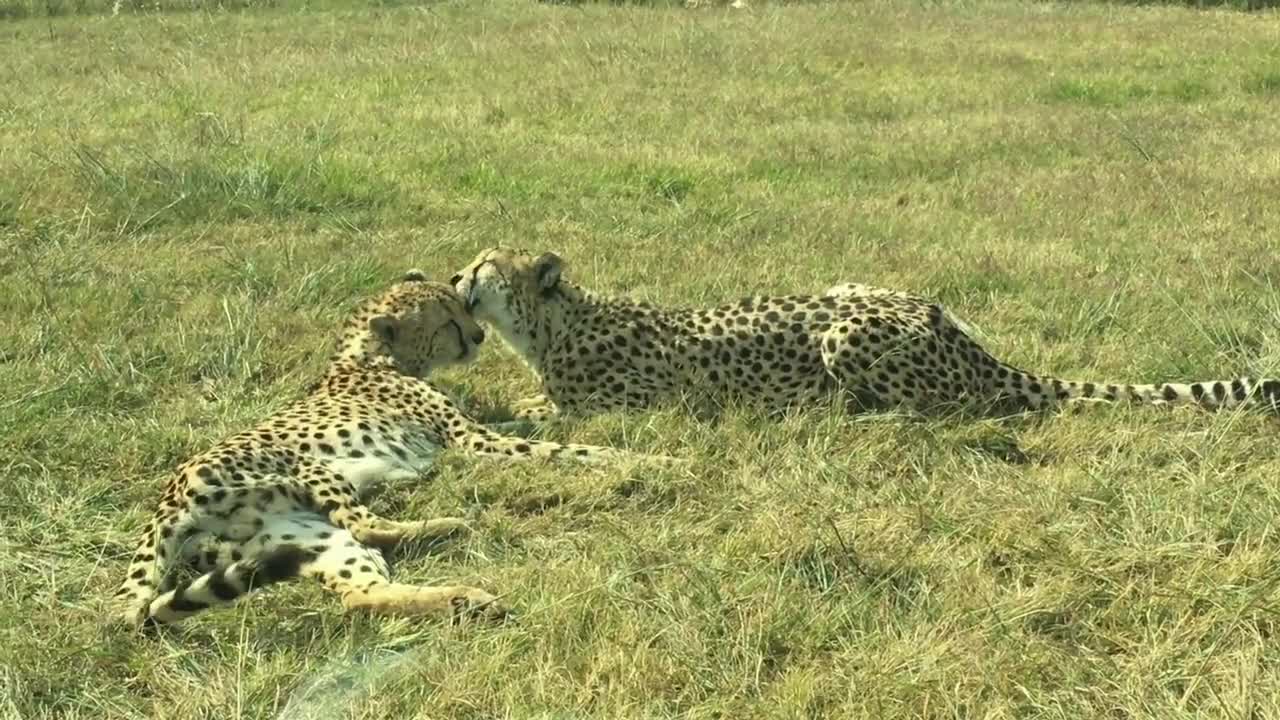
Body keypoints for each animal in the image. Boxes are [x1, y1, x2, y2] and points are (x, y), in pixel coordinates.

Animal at [115, 271, 645, 625]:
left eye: (461, 308)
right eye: (448, 322)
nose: (478, 336)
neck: (369, 356)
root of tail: (168, 498)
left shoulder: (472, 430)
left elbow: (534, 425)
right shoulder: (471, 439)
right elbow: (564, 449)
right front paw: (645, 460)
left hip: (299, 540)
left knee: (361, 593)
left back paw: (462, 597)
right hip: (304, 469)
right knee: (367, 524)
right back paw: (450, 524)